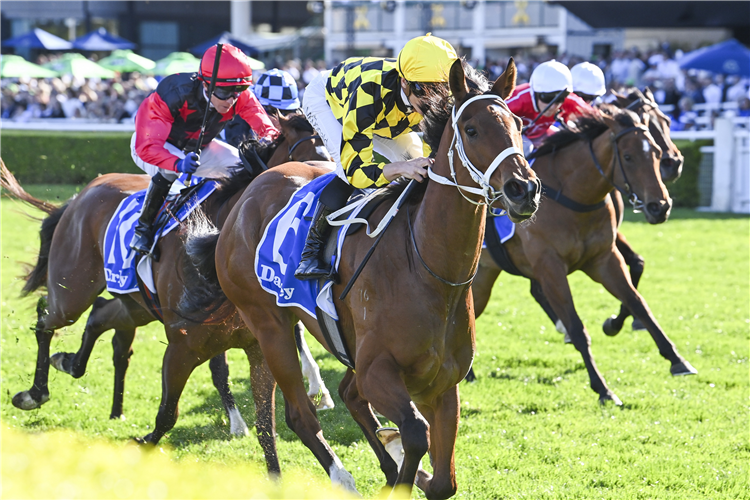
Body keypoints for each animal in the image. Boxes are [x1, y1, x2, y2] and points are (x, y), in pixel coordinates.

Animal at [2, 111, 330, 470]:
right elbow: (176, 406)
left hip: (135, 305)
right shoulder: (183, 343)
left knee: (100, 316)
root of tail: (79, 196)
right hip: (72, 290)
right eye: (310, 160)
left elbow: (264, 421)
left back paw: (75, 368)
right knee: (46, 319)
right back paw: (34, 393)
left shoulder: (256, 343)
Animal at [180, 58, 544, 496]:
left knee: (344, 395)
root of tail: (244, 199)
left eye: (518, 125)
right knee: (299, 414)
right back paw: (342, 479)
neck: (429, 271)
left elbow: (443, 481)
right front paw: (401, 468)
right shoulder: (377, 372)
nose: (524, 189)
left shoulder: (442, 385)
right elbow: (414, 432)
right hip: (269, 325)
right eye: (471, 130)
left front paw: (408, 468)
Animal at [470, 104, 700, 402]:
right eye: (628, 156)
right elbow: (577, 327)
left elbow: (639, 302)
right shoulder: (550, 268)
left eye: (657, 153)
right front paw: (603, 388)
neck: (573, 196)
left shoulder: (604, 259)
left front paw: (676, 359)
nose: (660, 206)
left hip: (483, 276)